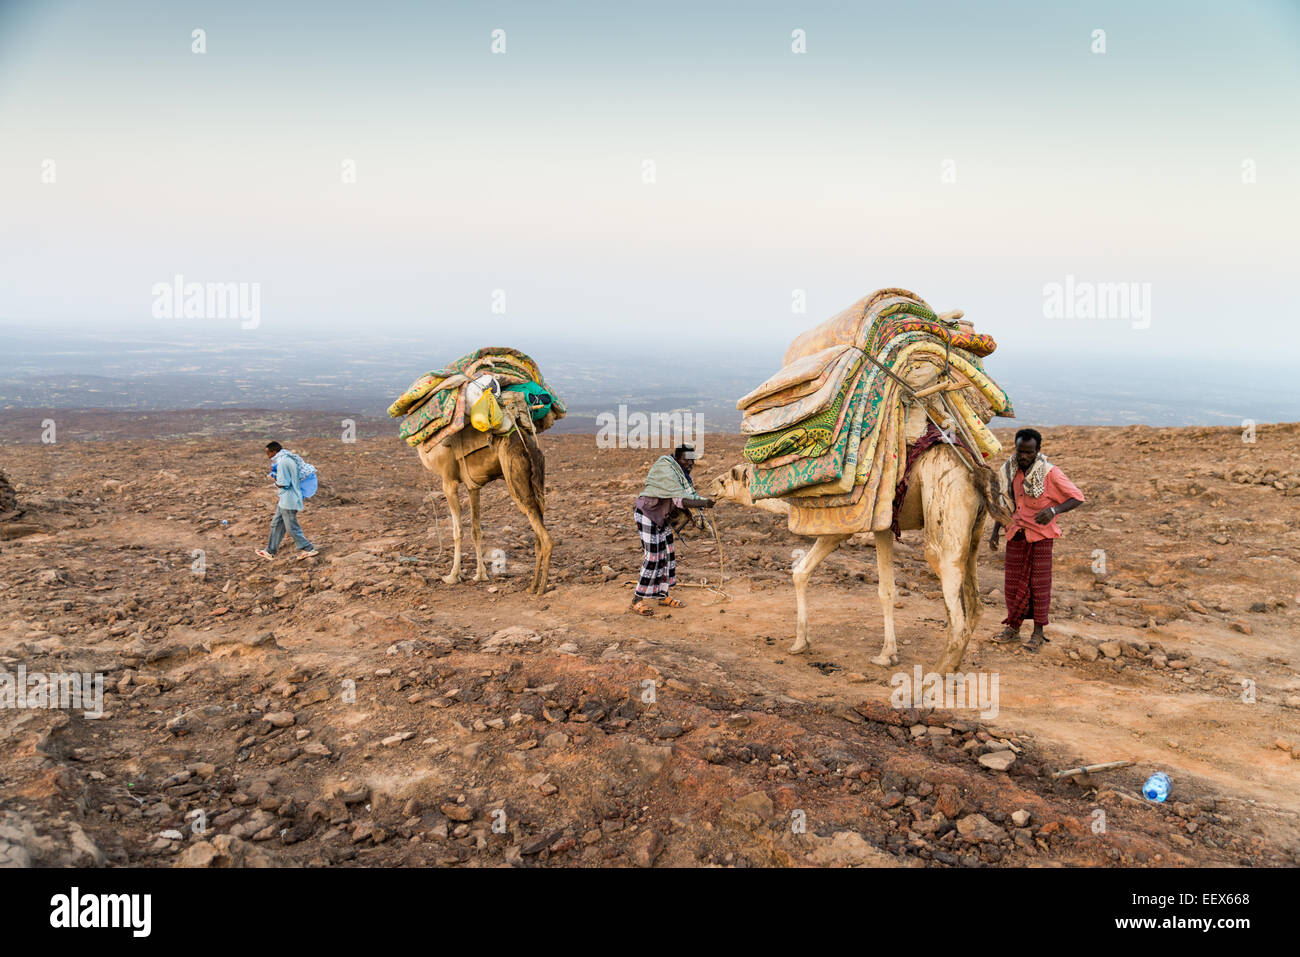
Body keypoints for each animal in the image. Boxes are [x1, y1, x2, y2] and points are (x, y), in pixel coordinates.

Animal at [707, 366, 1008, 670]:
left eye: (723, 480)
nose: (709, 488)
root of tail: (975, 471)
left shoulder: (848, 524)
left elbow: (814, 574)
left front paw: (804, 643)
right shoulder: (873, 526)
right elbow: (873, 586)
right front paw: (885, 652)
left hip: (945, 508)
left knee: (954, 608)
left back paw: (934, 677)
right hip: (973, 529)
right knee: (975, 603)